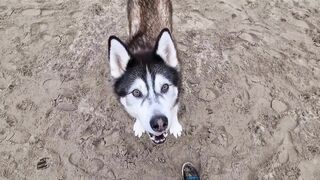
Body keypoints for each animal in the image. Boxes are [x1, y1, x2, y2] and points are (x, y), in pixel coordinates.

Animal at [109, 0, 181, 143]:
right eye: (136, 92)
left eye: (165, 87)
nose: (160, 123)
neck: (145, 47)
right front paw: (139, 125)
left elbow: (174, 108)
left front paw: (175, 125)